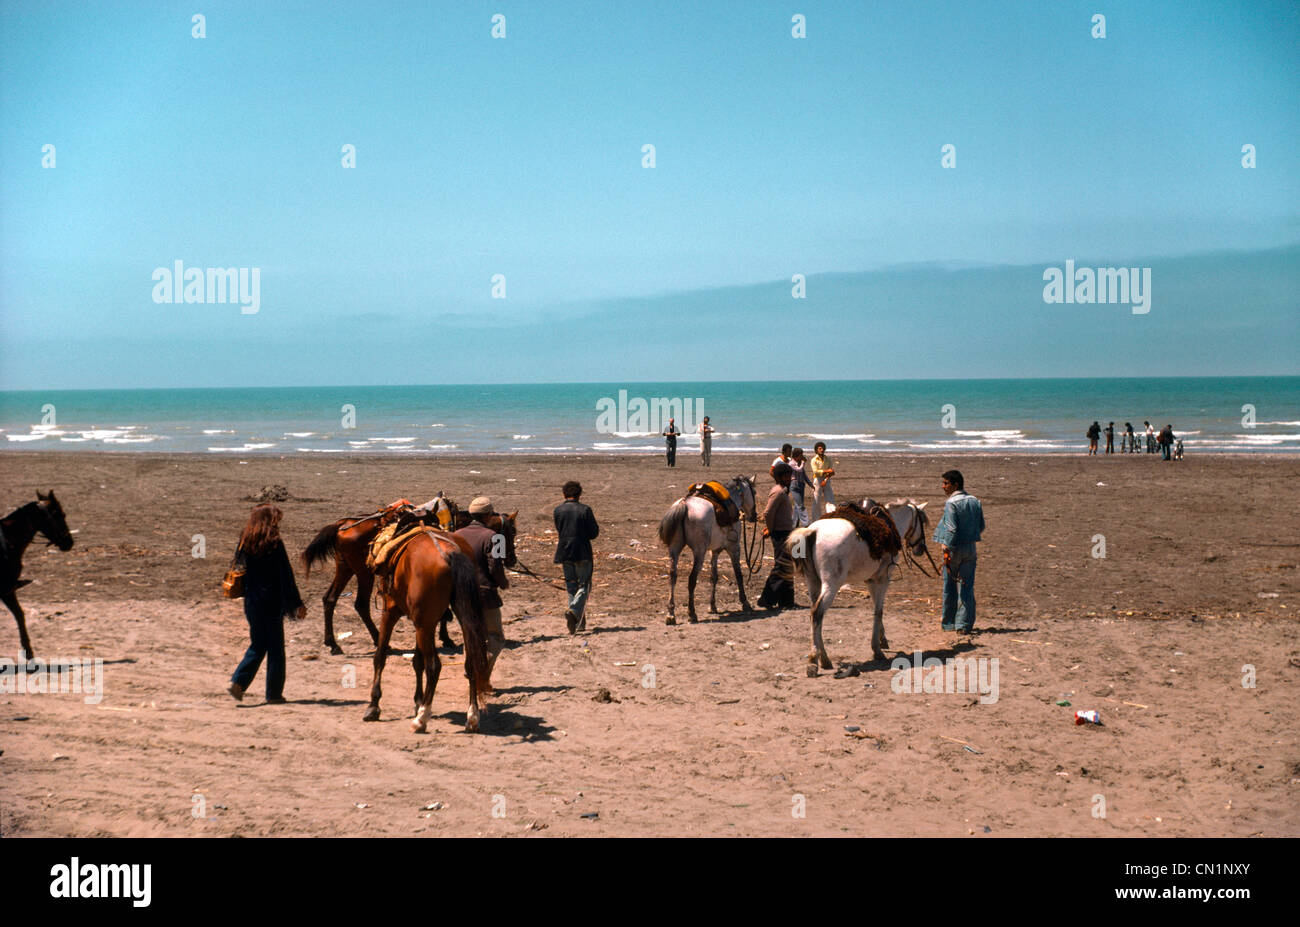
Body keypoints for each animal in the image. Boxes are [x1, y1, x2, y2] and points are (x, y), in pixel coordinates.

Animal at [2, 491, 73, 657]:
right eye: (60, 514)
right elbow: (19, 615)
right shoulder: (6, 590)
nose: (69, 542)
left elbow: (19, 614)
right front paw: (29, 653)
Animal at [361, 527, 491, 728]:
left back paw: (421, 719)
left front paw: (374, 705)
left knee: (434, 666)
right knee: (470, 663)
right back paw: (472, 716)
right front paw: (418, 701)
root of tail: (450, 553)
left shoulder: (390, 611)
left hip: (423, 624)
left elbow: (380, 656)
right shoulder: (421, 621)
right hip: (460, 618)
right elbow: (417, 661)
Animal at [655, 478, 759, 621]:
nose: (754, 515)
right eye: (754, 492)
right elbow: (738, 575)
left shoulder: (714, 551)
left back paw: (671, 614)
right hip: (699, 552)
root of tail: (684, 504)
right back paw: (692, 613)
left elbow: (713, 576)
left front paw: (712, 606)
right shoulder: (734, 548)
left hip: (674, 549)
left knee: (672, 576)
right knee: (692, 579)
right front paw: (745, 602)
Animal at [780, 501, 935, 670]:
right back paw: (815, 660)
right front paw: (877, 649)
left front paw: (882, 639)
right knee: (817, 613)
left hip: (813, 582)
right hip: (831, 585)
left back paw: (823, 659)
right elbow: (878, 611)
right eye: (922, 521)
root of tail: (813, 531)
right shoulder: (882, 580)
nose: (921, 548)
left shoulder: (871, 580)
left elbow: (876, 608)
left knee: (815, 615)